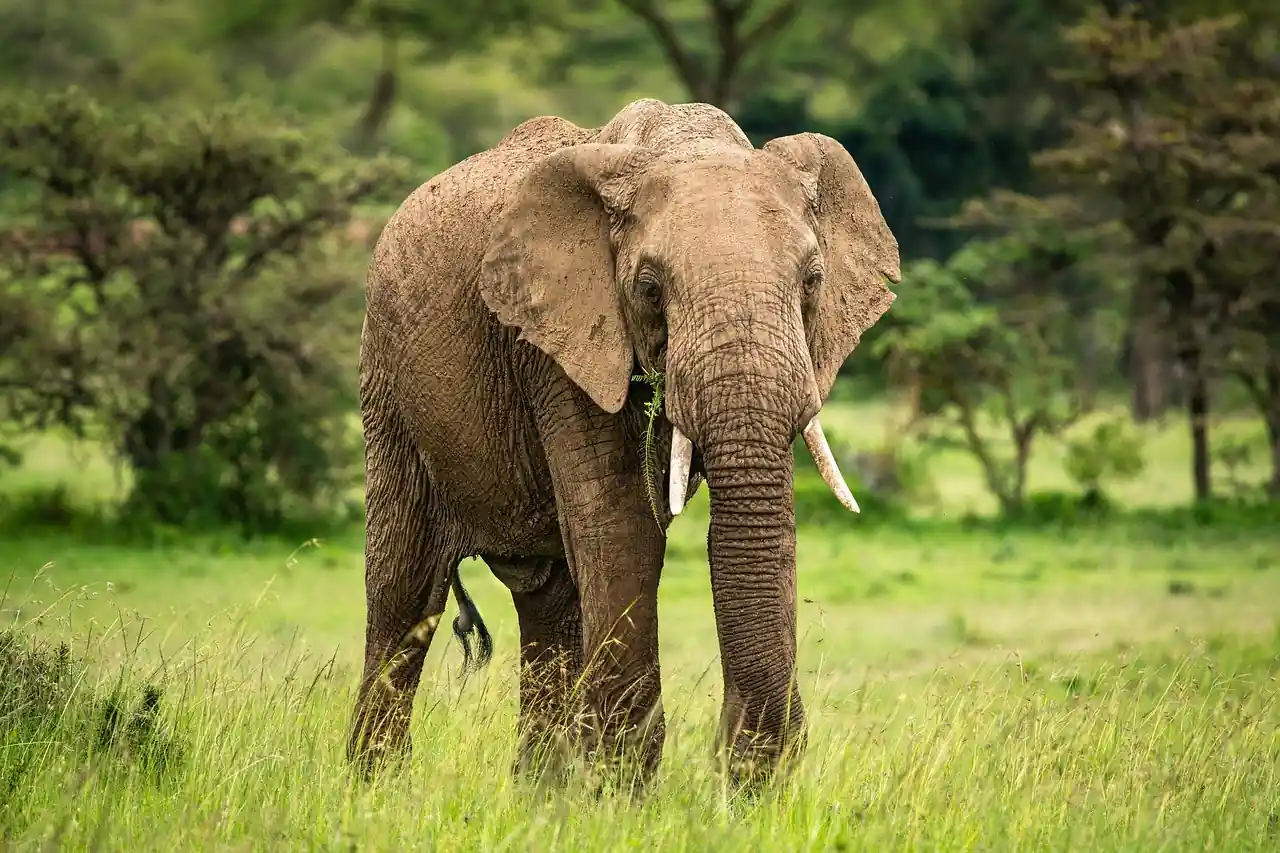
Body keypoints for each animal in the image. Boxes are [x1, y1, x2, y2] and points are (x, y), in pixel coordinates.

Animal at [349, 97, 900, 788]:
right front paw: (622, 787)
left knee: (549, 599)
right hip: (389, 384)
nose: (740, 763)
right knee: (404, 594)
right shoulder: (556, 343)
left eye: (812, 282)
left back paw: (541, 794)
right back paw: (373, 791)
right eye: (649, 288)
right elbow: (622, 526)